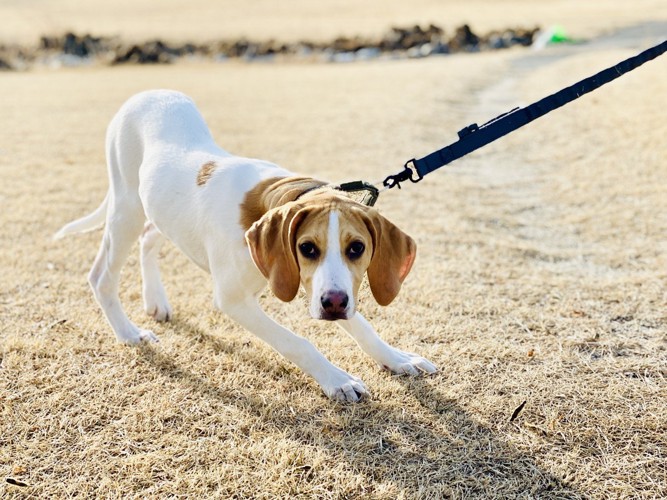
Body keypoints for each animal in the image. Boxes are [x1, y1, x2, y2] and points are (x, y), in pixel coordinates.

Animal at [54, 90, 436, 402]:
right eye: (308, 248)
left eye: (356, 248)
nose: (334, 305)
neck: (273, 197)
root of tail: (144, 94)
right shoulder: (235, 300)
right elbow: (298, 342)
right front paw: (337, 380)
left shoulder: (312, 283)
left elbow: (363, 326)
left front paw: (396, 358)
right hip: (127, 207)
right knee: (102, 276)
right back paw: (130, 333)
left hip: (160, 210)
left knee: (150, 237)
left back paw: (155, 302)